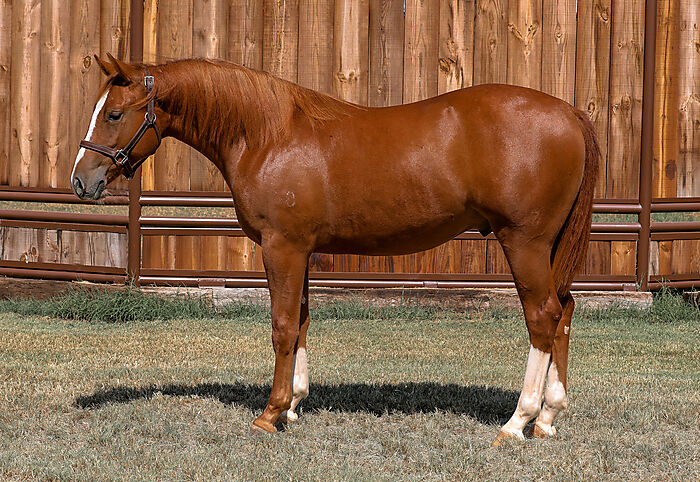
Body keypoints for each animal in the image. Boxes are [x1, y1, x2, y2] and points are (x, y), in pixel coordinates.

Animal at [71, 54, 599, 445]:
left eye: (114, 114)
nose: (81, 181)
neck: (268, 135)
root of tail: (569, 112)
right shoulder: (300, 250)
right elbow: (303, 321)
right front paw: (294, 406)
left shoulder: (281, 248)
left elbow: (283, 326)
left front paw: (270, 414)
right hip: (548, 248)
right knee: (565, 312)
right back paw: (548, 418)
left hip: (524, 242)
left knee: (543, 318)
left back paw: (517, 422)